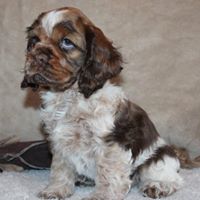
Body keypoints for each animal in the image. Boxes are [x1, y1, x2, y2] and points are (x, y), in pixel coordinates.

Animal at [21, 7, 184, 200]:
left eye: (67, 42)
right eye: (34, 41)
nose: (37, 56)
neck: (70, 97)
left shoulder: (110, 143)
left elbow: (108, 172)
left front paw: (102, 195)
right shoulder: (59, 141)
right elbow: (60, 168)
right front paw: (56, 189)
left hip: (158, 158)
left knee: (173, 178)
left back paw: (158, 185)